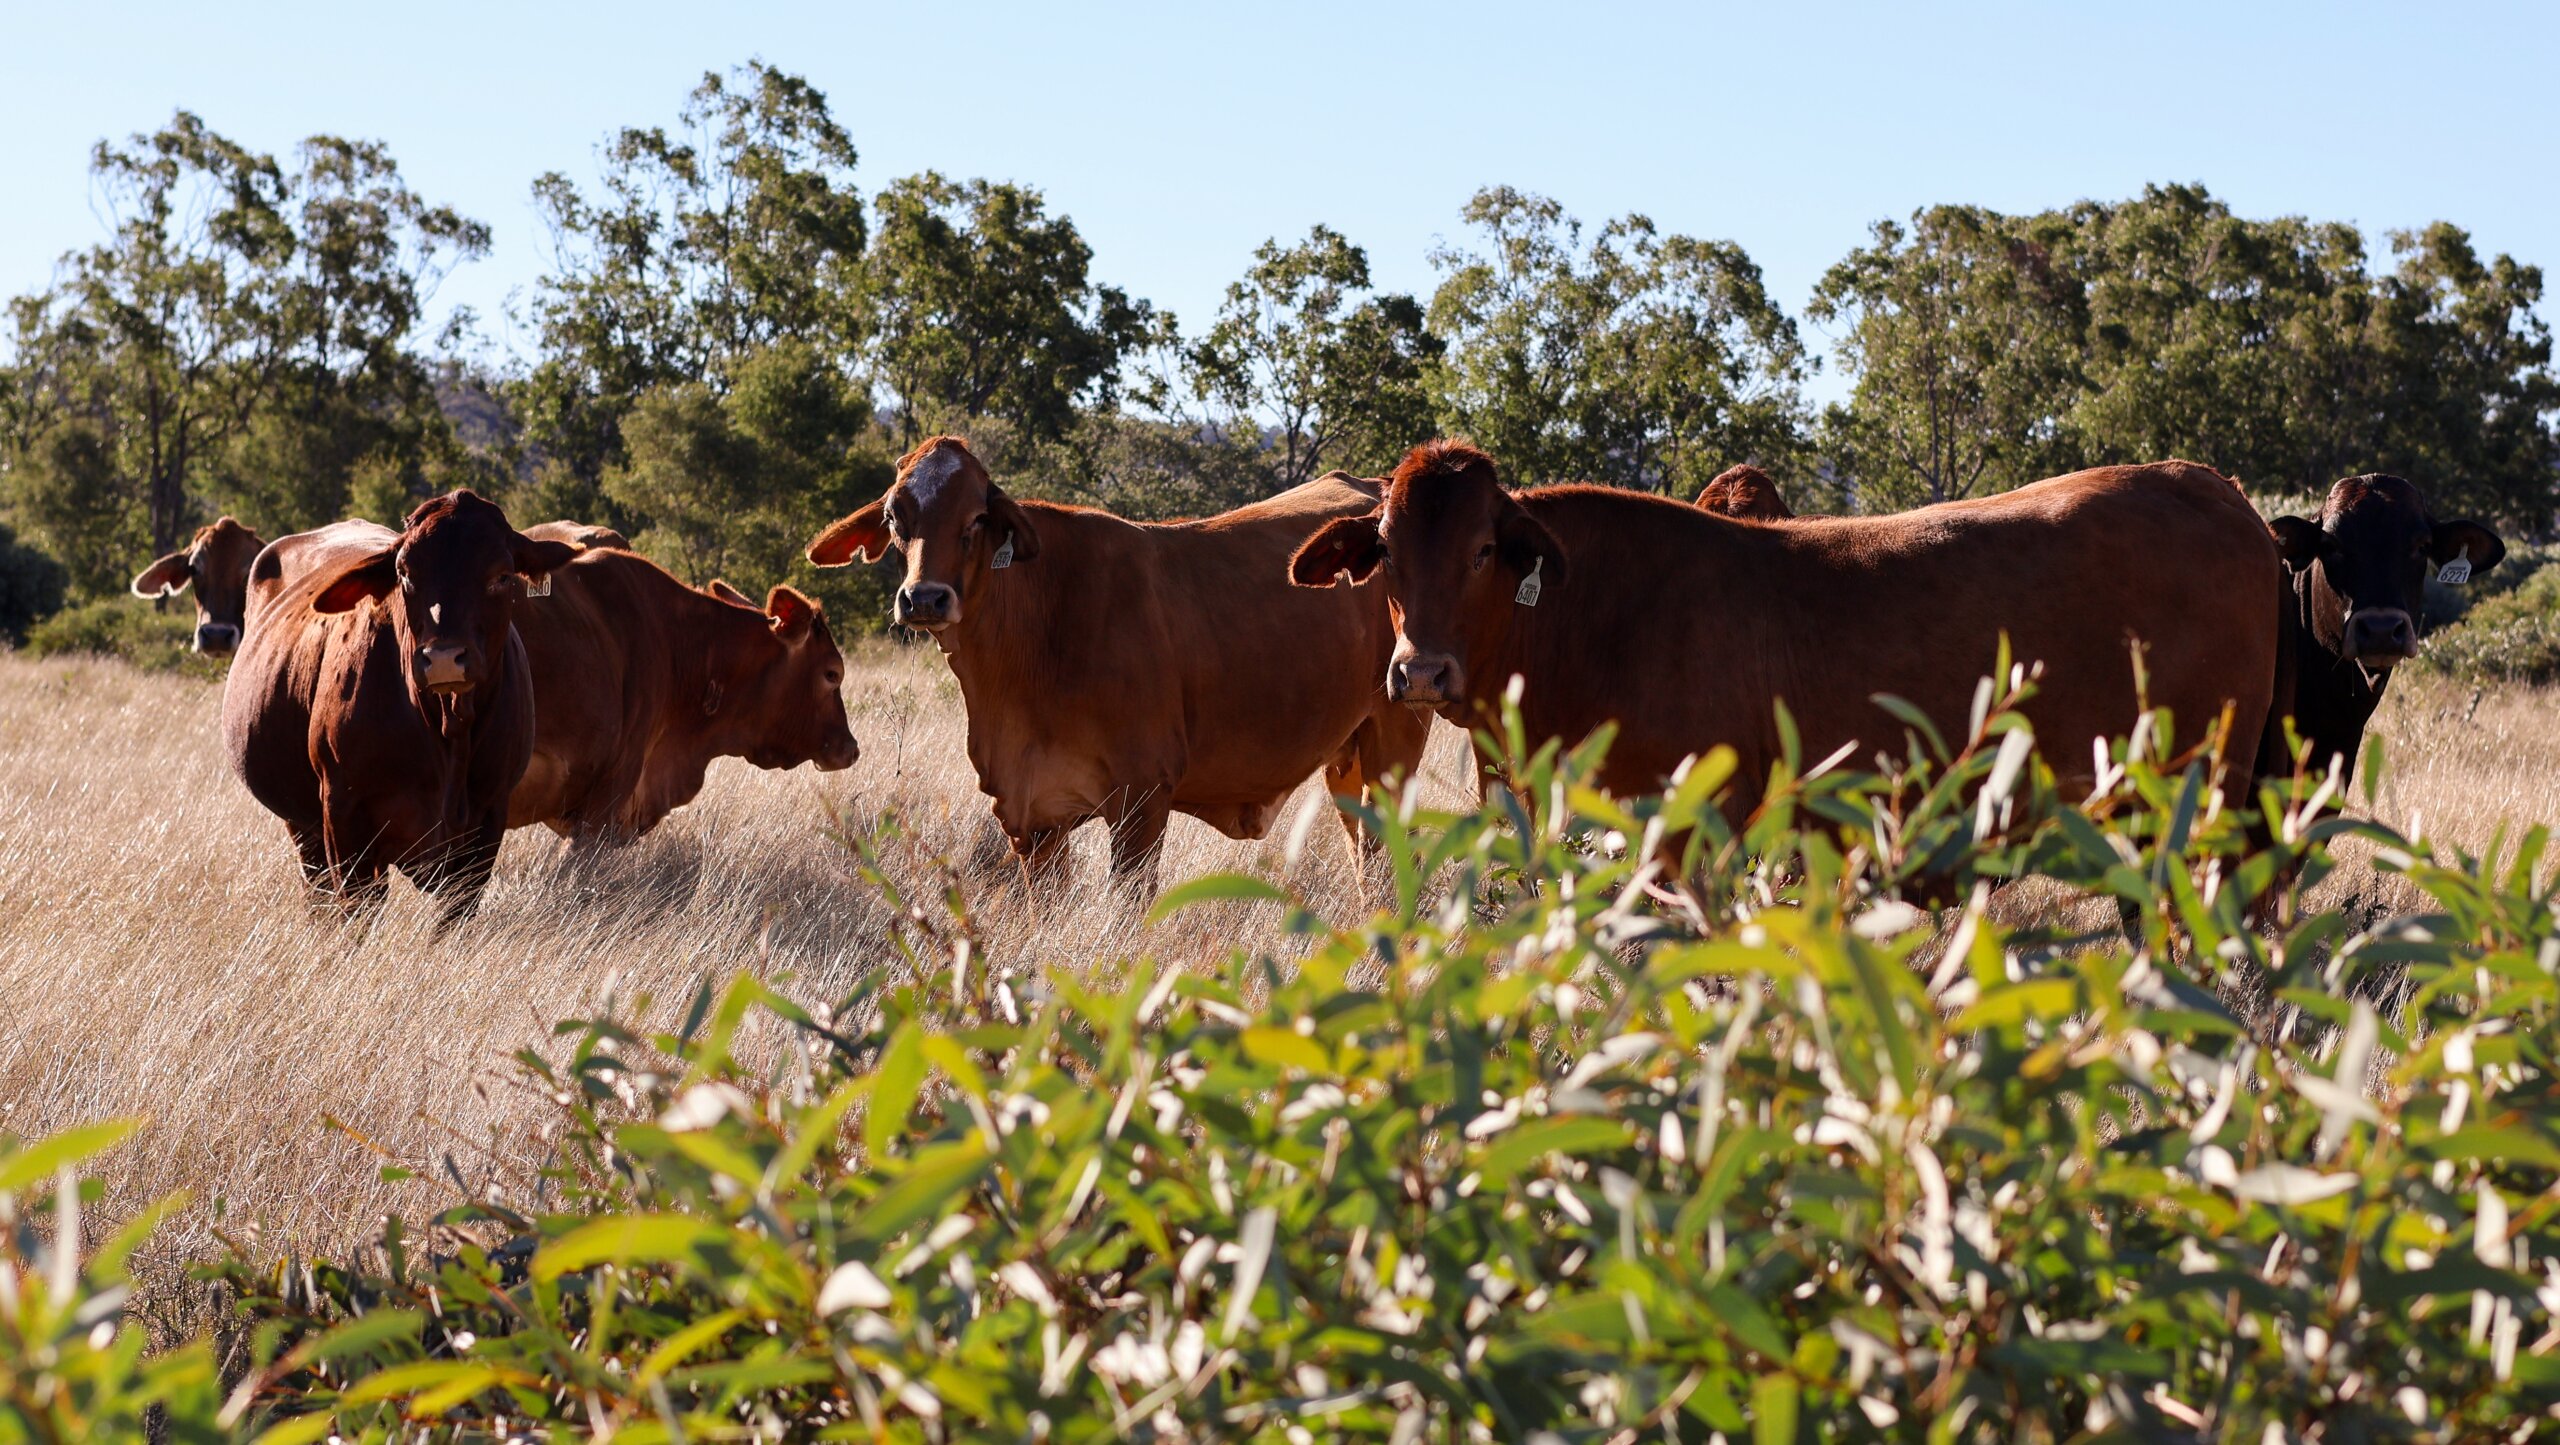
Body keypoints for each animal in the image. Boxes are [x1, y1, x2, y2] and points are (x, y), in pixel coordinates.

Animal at [224, 491, 576, 920]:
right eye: (405, 573)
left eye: (503, 576)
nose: (444, 658)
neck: (448, 729)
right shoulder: (344, 817)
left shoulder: (489, 820)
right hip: (303, 823)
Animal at [805, 436, 1429, 891]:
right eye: (895, 515)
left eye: (977, 518)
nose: (925, 599)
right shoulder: (1030, 817)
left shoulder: (1143, 800)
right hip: (1348, 754)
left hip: (1395, 738)